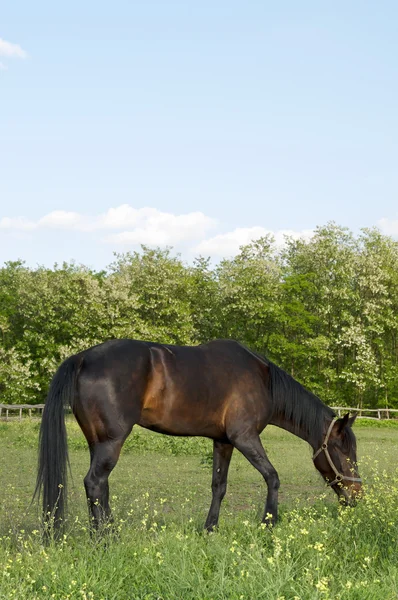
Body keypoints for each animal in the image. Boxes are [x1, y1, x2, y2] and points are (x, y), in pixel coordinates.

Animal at [35, 338, 362, 528]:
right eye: (343, 450)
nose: (357, 496)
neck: (263, 380)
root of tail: (81, 359)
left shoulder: (224, 441)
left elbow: (219, 486)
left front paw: (210, 528)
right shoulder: (245, 437)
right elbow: (272, 477)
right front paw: (268, 524)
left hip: (97, 443)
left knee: (100, 487)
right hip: (110, 442)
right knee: (94, 483)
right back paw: (107, 539)